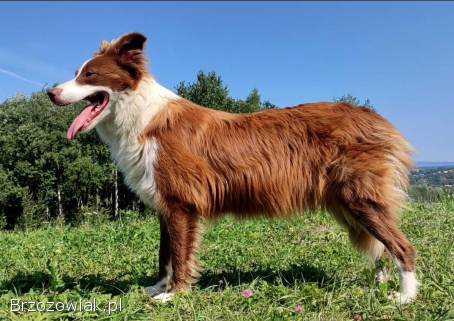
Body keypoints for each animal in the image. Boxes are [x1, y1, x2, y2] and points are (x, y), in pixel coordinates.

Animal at [48, 31, 420, 302]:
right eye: (76, 73)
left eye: (89, 74)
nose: (50, 92)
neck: (140, 115)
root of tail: (374, 116)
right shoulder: (166, 205)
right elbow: (164, 254)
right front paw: (157, 288)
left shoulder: (181, 204)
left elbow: (180, 255)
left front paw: (174, 296)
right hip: (348, 204)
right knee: (382, 248)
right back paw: (381, 284)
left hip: (360, 198)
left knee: (402, 246)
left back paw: (405, 297)